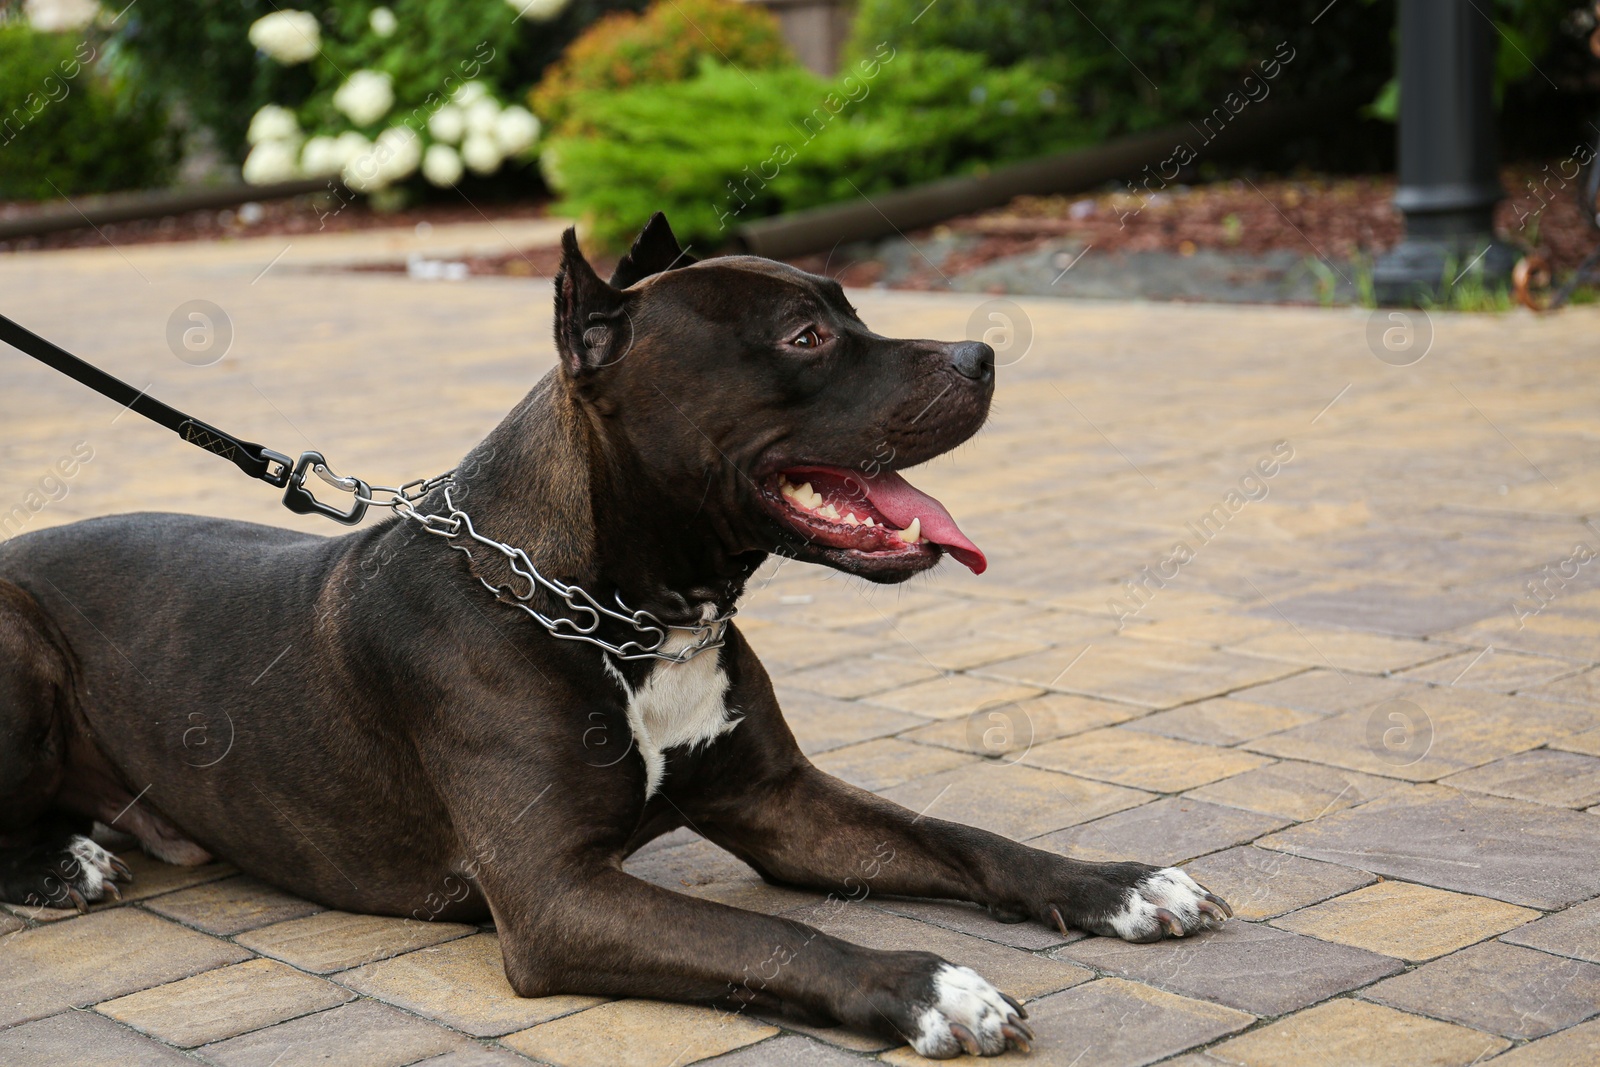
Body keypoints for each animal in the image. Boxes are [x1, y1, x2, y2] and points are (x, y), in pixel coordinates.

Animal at [0, 217, 1222, 1062]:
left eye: (850, 312)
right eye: (806, 336)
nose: (980, 355)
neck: (626, 612)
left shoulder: (781, 802)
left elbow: (963, 836)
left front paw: (1120, 884)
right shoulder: (559, 896)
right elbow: (775, 940)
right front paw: (934, 987)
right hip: (20, 649)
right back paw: (64, 862)